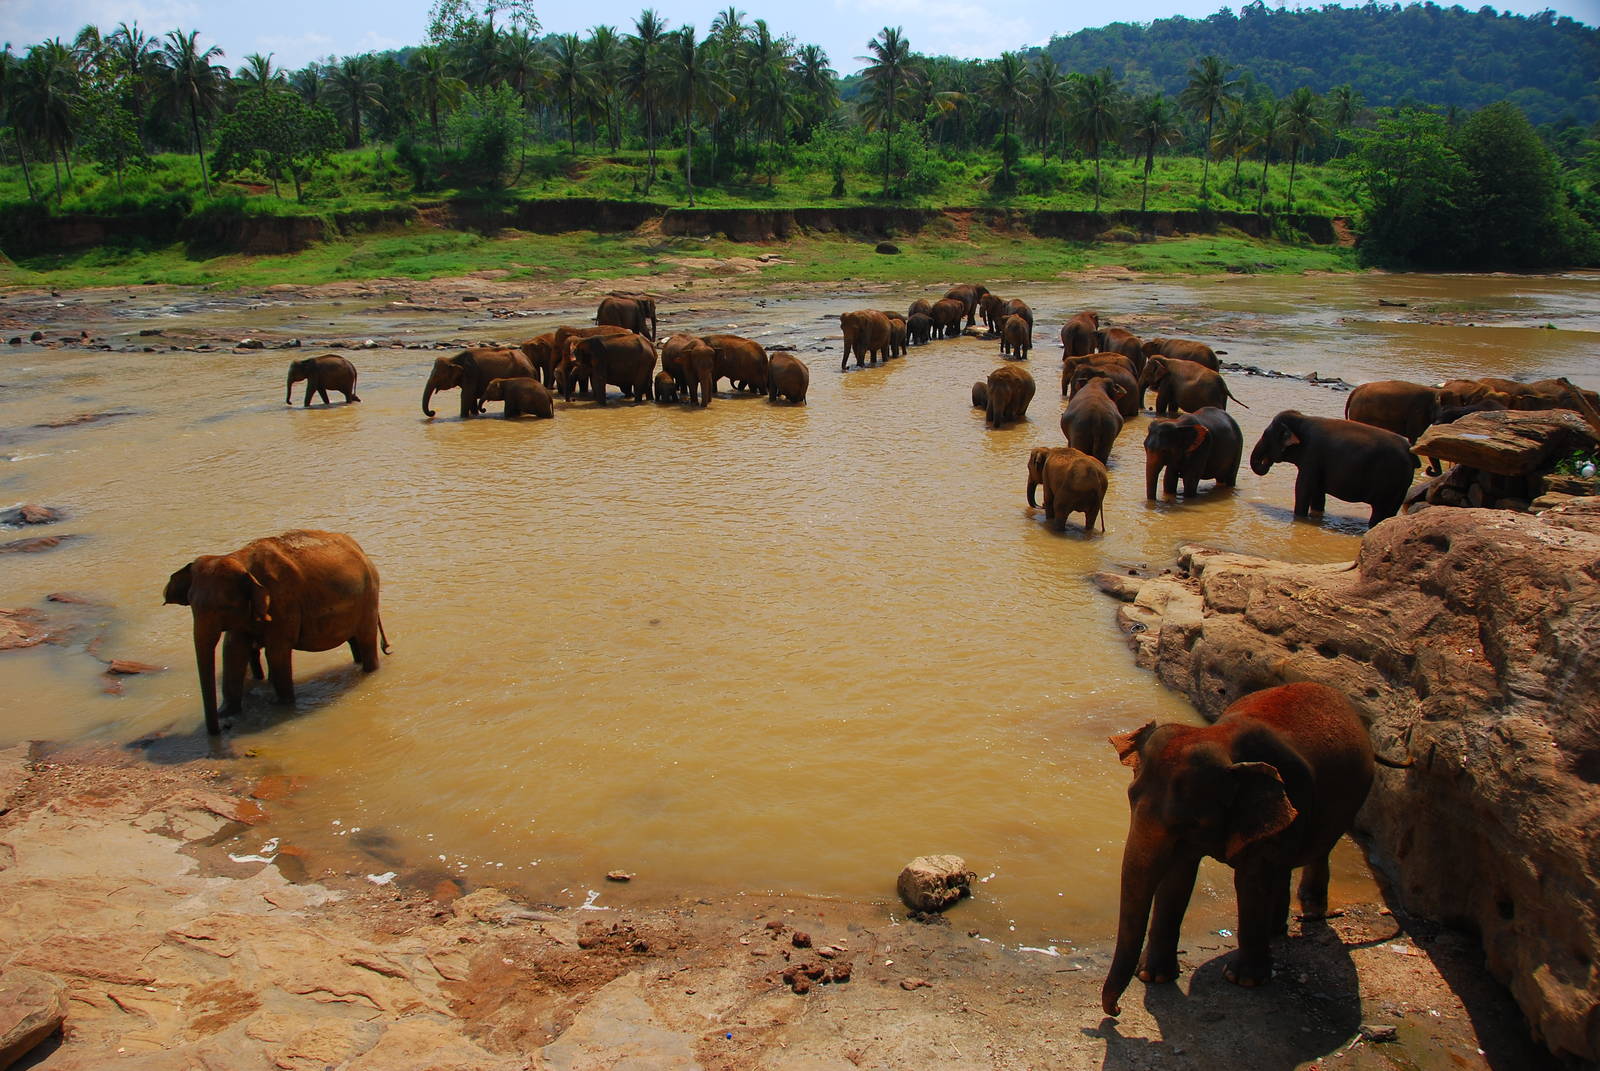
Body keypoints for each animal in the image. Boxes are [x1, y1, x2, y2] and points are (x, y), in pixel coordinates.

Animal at [163, 530, 388, 735]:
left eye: (224, 607)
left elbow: (276, 652)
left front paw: (280, 707)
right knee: (354, 640)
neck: (238, 558)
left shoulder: (282, 603)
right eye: (191, 604)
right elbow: (232, 651)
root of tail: (359, 549)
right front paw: (227, 712)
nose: (221, 729)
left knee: (366, 639)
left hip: (369, 596)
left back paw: (368, 671)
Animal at [1101, 682, 1377, 1015]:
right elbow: (1177, 879)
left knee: (1317, 849)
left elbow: (1250, 881)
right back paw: (1276, 930)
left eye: (1190, 821)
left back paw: (1310, 911)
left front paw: (1243, 981)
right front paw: (1153, 976)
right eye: (1130, 798)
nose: (1116, 1011)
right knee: (1282, 868)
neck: (1221, 738)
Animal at [1250, 410, 1419, 526]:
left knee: (1379, 512)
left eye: (1265, 436)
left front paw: (1299, 517)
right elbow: (1318, 493)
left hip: (1389, 483)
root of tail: (1410, 452)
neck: (1303, 418)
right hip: (1400, 487)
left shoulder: (1311, 456)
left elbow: (1303, 488)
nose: (1266, 462)